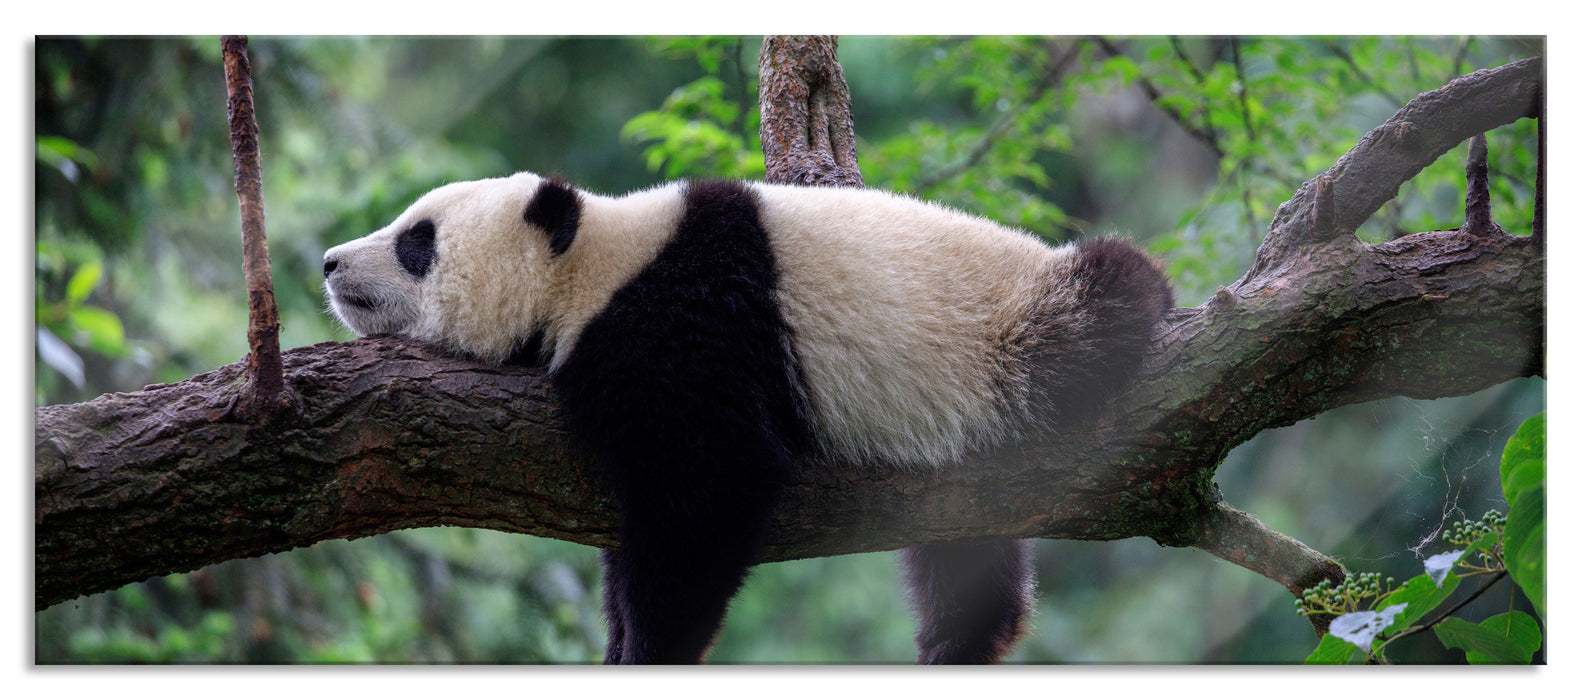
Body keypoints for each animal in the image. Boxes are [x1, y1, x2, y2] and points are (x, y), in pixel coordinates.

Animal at [322, 171, 1173, 664]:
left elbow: (710, 486)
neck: (593, 263)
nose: (329, 262)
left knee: (1100, 308)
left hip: (1010, 330)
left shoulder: (688, 320)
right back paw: (961, 642)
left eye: (417, 241)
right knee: (966, 550)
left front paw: (651, 650)